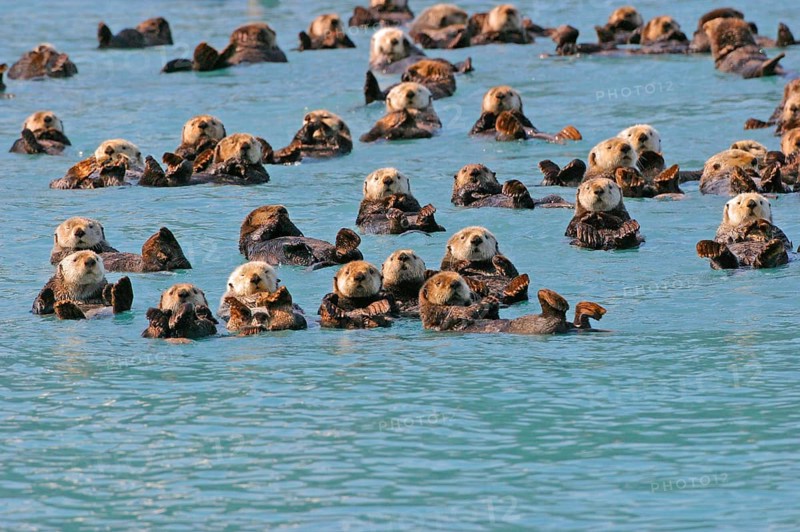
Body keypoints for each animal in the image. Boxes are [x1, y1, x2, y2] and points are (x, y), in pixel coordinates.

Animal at [50, 217, 191, 272]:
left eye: (90, 226)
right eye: (68, 228)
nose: (79, 231)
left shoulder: (111, 248)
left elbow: (110, 249)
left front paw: (97, 245)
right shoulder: (59, 255)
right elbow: (70, 252)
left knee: (183, 262)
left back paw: (165, 235)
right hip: (147, 266)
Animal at [419, 272, 606, 334]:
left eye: (459, 278)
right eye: (439, 282)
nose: (455, 283)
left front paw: (493, 303)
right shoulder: (445, 312)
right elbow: (464, 312)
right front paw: (486, 301)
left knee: (580, 321)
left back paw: (593, 309)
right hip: (540, 325)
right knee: (557, 314)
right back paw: (551, 297)